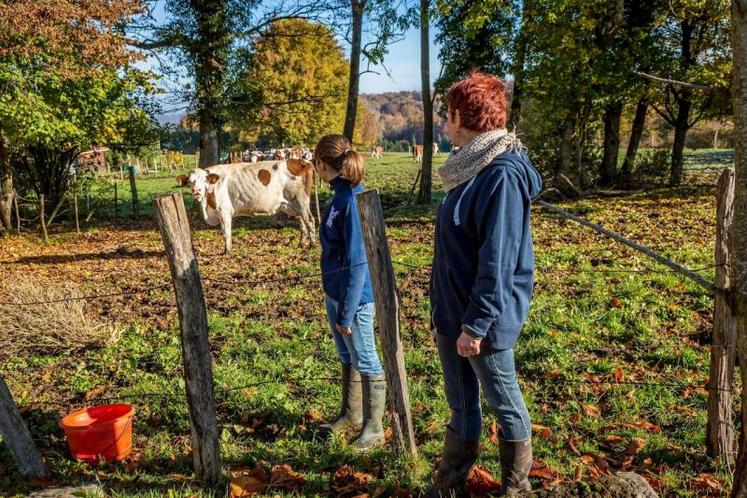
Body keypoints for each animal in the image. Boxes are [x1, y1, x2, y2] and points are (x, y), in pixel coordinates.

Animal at [178, 160, 316, 253]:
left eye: (205, 180)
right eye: (190, 181)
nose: (197, 191)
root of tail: (301, 161)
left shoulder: (224, 211)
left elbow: (226, 232)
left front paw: (227, 251)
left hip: (301, 201)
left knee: (310, 221)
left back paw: (313, 246)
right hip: (294, 205)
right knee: (302, 223)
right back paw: (301, 244)